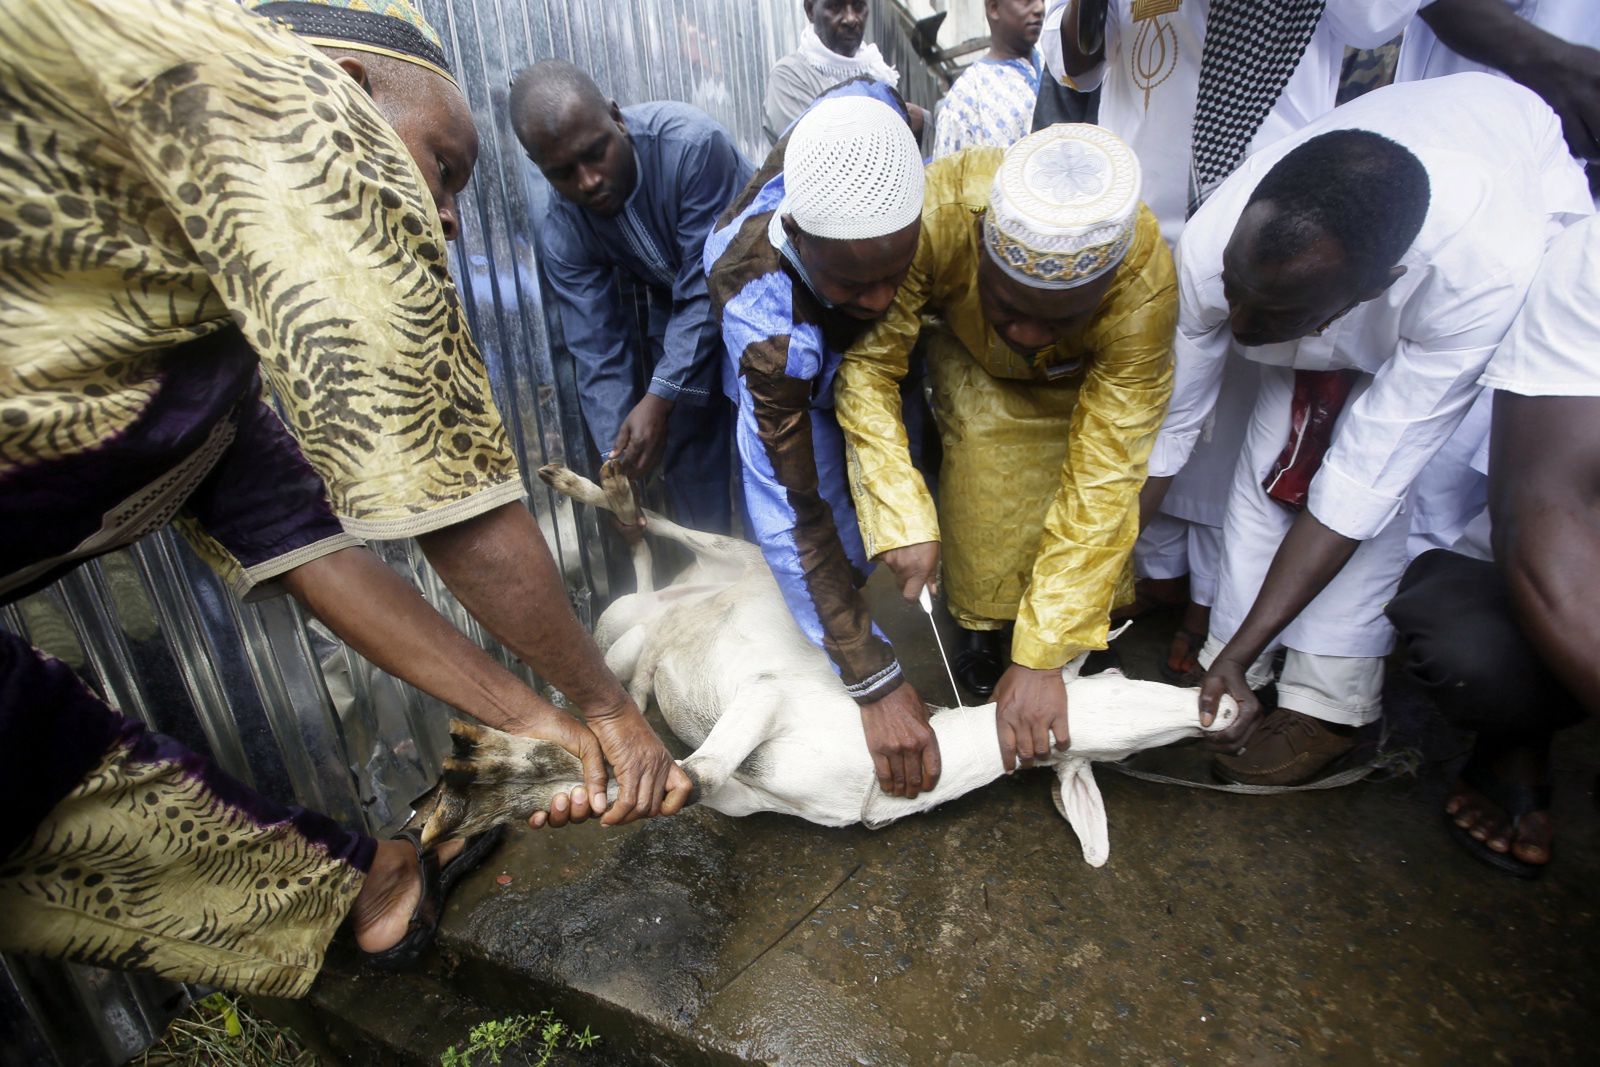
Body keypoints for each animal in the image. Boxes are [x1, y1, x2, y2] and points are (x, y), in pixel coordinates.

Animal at [419, 463, 1228, 863]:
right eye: (1112, 682)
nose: (1218, 706)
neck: (872, 773)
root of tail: (672, 596)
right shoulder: (770, 698)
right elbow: (692, 770)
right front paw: (477, 785)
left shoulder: (749, 797)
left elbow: (682, 783)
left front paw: (484, 786)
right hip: (730, 562)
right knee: (661, 530)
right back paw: (593, 486)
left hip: (643, 627)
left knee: (640, 587)